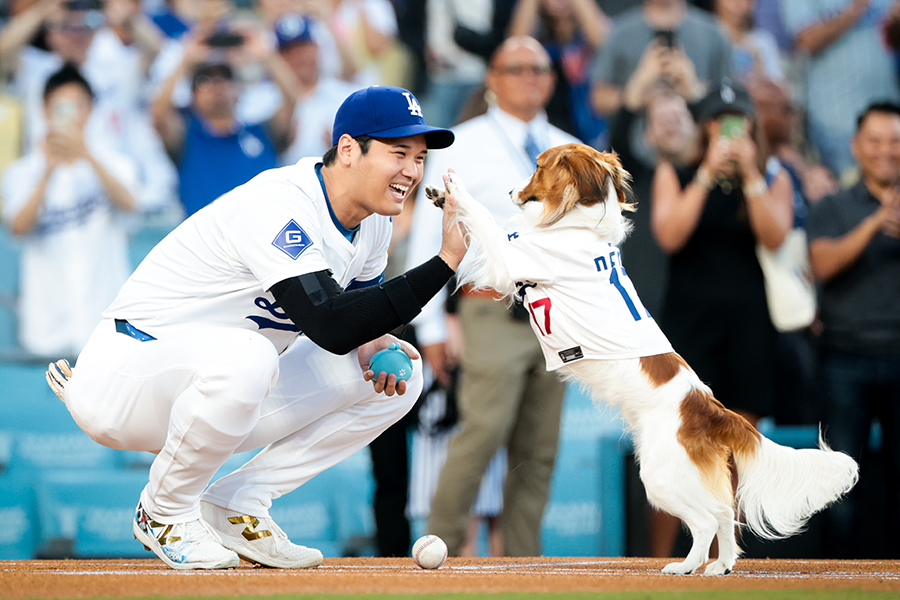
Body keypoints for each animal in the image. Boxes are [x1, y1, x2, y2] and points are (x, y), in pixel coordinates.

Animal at [428, 143, 856, 576]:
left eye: (537, 166)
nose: (511, 191)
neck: (578, 223)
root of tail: (711, 408)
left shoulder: (509, 257)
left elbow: (483, 217)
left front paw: (456, 189)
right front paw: (442, 196)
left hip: (660, 475)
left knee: (705, 521)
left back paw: (685, 567)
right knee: (722, 514)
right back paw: (719, 566)